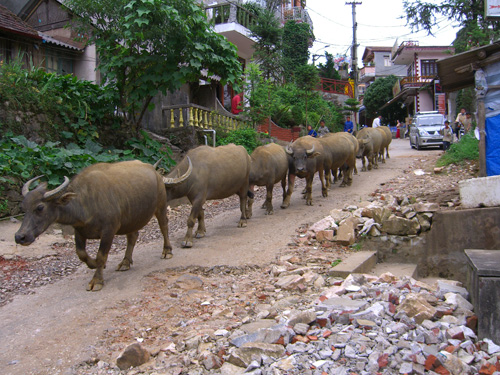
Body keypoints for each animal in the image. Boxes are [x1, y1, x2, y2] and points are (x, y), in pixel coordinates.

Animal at [15, 160, 191, 292]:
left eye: (40, 207)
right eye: (23, 207)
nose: (20, 237)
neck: (86, 202)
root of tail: (156, 174)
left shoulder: (109, 231)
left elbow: (101, 255)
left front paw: (97, 280)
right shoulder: (79, 231)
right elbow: (81, 254)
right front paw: (94, 265)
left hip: (160, 206)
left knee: (164, 226)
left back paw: (167, 251)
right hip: (132, 217)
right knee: (133, 236)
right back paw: (125, 262)